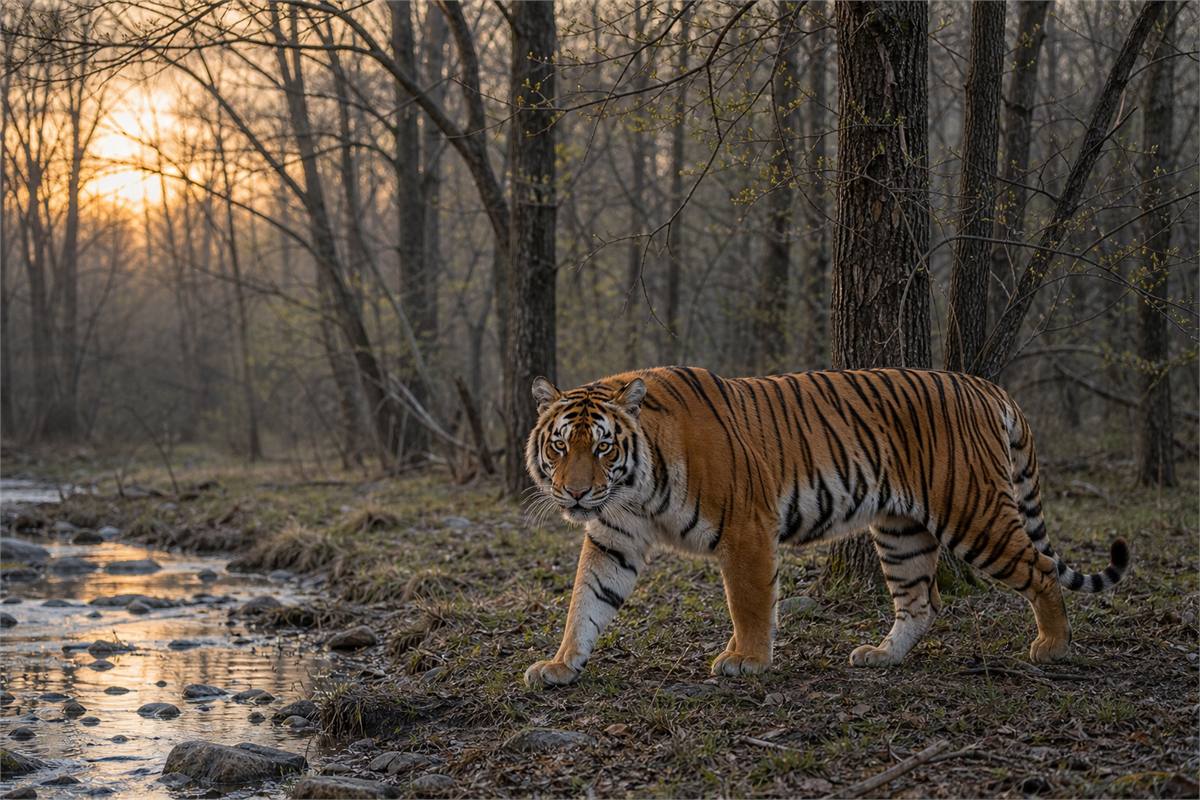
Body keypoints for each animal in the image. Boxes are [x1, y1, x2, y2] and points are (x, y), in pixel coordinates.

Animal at [522, 366, 1129, 687]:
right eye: (561, 446)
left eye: (603, 447)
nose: (576, 493)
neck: (634, 488)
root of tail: (985, 386)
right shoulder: (613, 538)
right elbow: (586, 603)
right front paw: (559, 664)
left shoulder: (746, 527)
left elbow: (749, 603)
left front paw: (747, 659)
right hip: (901, 530)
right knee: (922, 602)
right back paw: (881, 656)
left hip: (973, 512)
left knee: (1041, 567)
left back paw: (1053, 646)